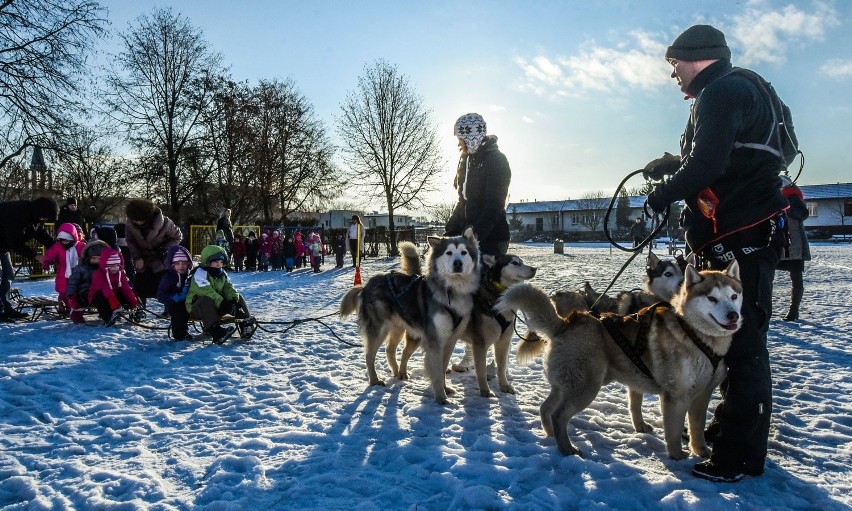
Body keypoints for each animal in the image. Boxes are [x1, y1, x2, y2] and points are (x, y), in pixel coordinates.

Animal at [340, 228, 480, 404]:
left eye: (463, 252)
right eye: (449, 253)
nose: (457, 263)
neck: (452, 291)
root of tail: (366, 285)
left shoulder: (450, 340)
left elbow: (442, 367)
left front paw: (445, 389)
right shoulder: (435, 340)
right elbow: (437, 372)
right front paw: (441, 397)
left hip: (402, 329)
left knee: (390, 349)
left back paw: (397, 372)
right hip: (379, 329)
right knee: (369, 355)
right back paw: (374, 380)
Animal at [496, 264, 744, 460]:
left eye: (734, 296)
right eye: (712, 298)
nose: (733, 315)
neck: (695, 334)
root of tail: (565, 323)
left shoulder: (702, 394)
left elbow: (696, 427)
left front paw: (701, 451)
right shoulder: (676, 397)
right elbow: (673, 432)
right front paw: (678, 458)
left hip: (568, 384)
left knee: (546, 408)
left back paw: (550, 435)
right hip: (585, 387)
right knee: (558, 415)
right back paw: (567, 449)